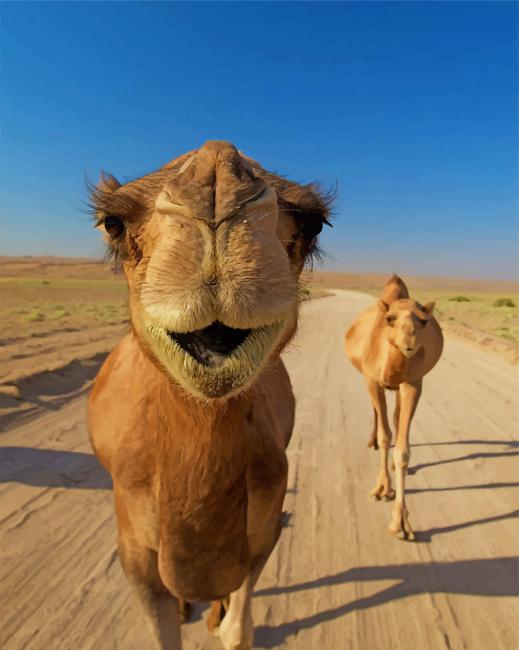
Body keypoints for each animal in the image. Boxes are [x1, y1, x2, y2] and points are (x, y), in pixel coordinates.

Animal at [87, 140, 331, 649]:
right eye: (113, 223)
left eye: (314, 222)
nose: (216, 182)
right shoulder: (134, 547)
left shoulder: (265, 529)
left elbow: (240, 628)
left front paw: (223, 620)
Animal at [345, 275, 443, 540]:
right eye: (390, 319)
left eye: (423, 320)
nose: (410, 343)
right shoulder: (372, 380)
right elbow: (385, 435)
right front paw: (381, 489)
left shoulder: (412, 383)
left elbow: (402, 449)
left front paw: (400, 522)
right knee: (378, 414)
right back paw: (372, 442)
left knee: (397, 418)